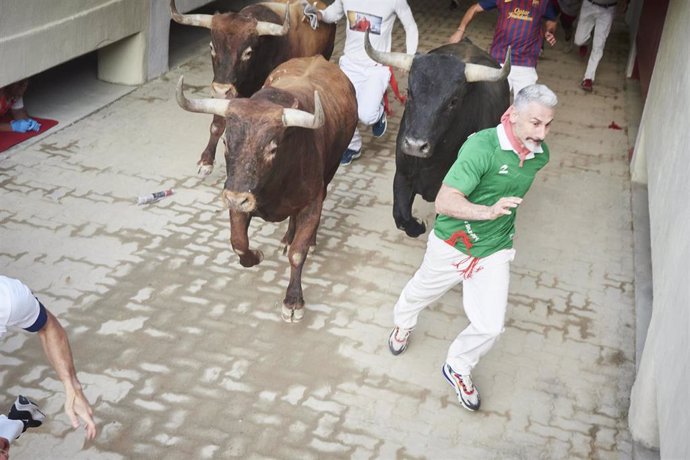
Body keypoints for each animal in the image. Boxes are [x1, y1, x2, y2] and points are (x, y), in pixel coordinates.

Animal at [175, 56, 358, 324]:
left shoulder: (311, 202)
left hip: (330, 170)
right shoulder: (238, 194)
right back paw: (286, 237)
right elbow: (238, 242)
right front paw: (255, 256)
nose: (235, 199)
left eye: (272, 148)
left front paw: (293, 301)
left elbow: (298, 253)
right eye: (226, 141)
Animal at [362, 33, 508, 237]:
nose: (415, 145)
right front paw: (418, 225)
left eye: (453, 101)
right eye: (409, 92)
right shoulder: (402, 174)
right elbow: (402, 217)